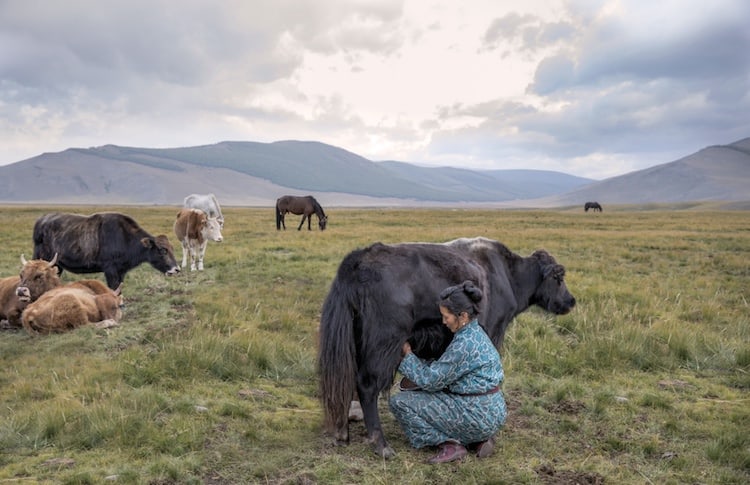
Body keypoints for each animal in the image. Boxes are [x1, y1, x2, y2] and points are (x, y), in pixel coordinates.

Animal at [320, 238, 580, 458]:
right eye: (558, 277)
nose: (571, 301)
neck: (510, 276)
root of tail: (360, 260)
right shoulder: (493, 331)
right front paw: (486, 441)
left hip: (355, 342)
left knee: (346, 380)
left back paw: (342, 433)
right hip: (383, 343)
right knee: (366, 385)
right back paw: (381, 446)